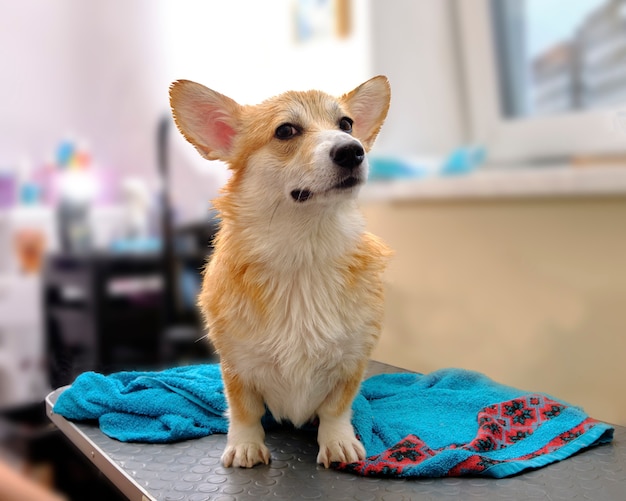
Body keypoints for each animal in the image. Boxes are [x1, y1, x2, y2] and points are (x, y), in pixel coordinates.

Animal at [169, 76, 390, 466]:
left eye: (346, 125)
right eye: (286, 130)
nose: (352, 151)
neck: (304, 249)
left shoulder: (351, 362)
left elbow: (336, 409)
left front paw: (338, 441)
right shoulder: (236, 365)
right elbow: (243, 410)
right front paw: (245, 445)